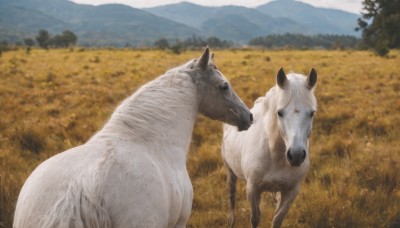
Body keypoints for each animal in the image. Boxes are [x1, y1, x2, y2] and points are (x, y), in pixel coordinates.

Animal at [222, 68, 316, 228]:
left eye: (312, 113)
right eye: (280, 113)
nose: (296, 155)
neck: (275, 157)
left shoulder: (291, 191)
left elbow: (277, 219)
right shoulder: (252, 189)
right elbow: (255, 218)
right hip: (231, 172)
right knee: (231, 196)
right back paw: (231, 220)